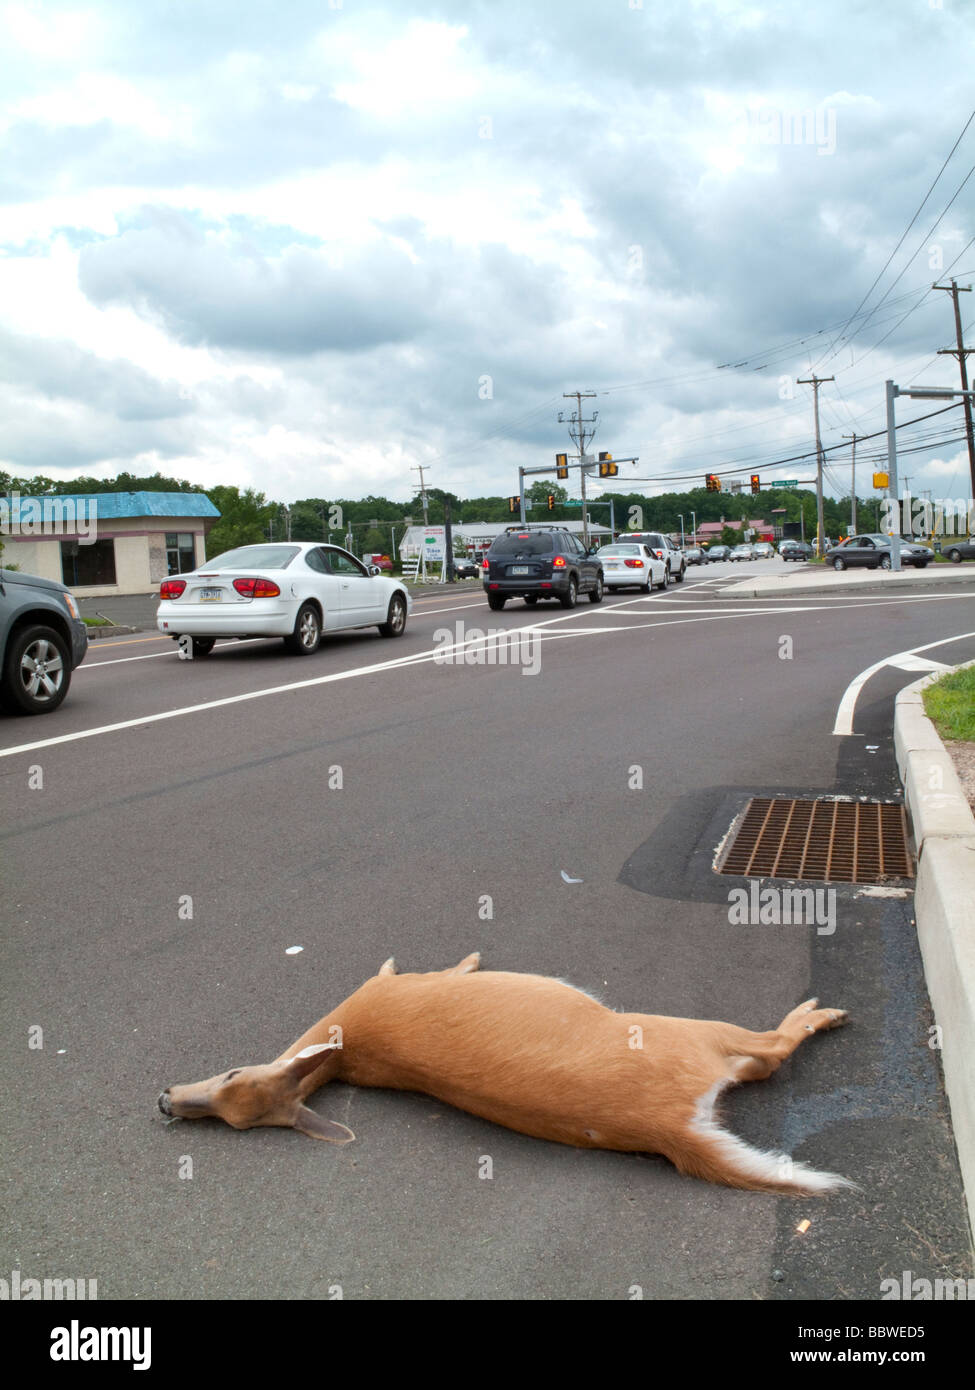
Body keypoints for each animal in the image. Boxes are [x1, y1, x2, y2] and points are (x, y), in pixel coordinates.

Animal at [158, 952, 855, 1195]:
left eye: (229, 1078)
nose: (165, 1100)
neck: (345, 1041)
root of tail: (672, 1131)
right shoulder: (393, 985)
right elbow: (433, 967)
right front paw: (466, 958)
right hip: (688, 1033)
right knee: (770, 1052)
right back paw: (818, 1012)